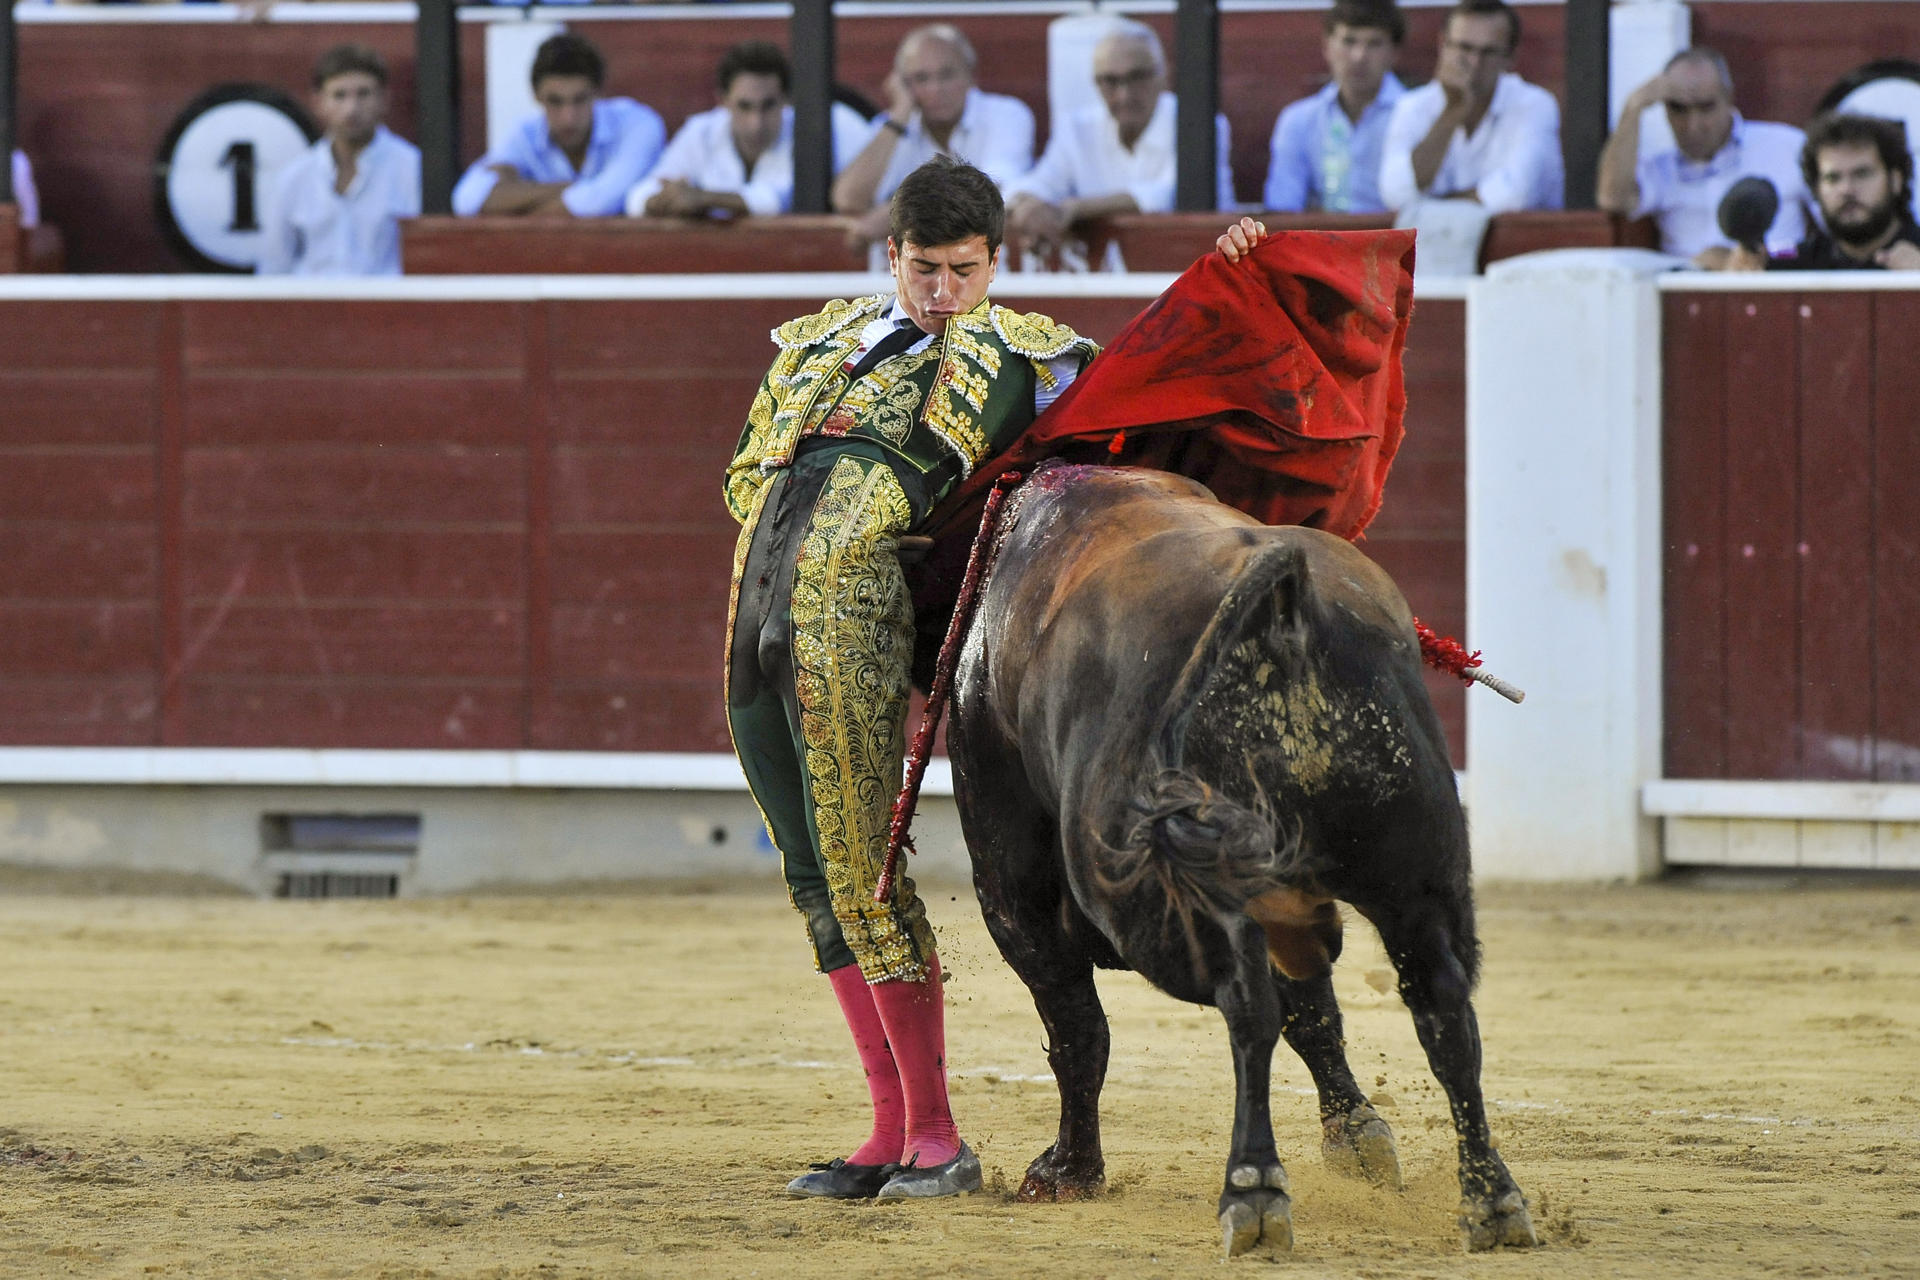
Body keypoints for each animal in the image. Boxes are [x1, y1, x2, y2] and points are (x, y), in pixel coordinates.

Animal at [936, 466, 1536, 1258]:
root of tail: (1285, 605)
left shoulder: (1012, 888)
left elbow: (1075, 1028)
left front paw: (1068, 1171)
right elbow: (1316, 1013)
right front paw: (1357, 1138)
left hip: (1174, 900)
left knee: (1247, 1007)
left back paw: (1253, 1194)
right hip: (1417, 874)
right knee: (1442, 1008)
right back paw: (1492, 1201)